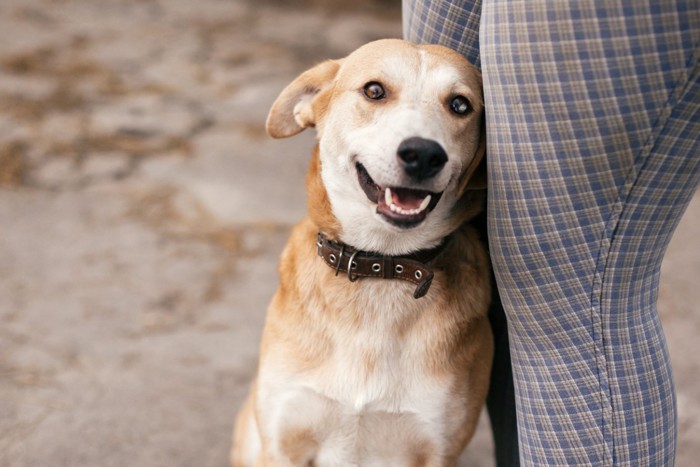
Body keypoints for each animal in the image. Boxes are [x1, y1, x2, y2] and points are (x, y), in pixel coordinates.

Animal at [231, 39, 492, 467]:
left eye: (460, 105)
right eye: (374, 91)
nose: (423, 154)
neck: (380, 267)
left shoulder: (437, 448)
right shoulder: (284, 440)